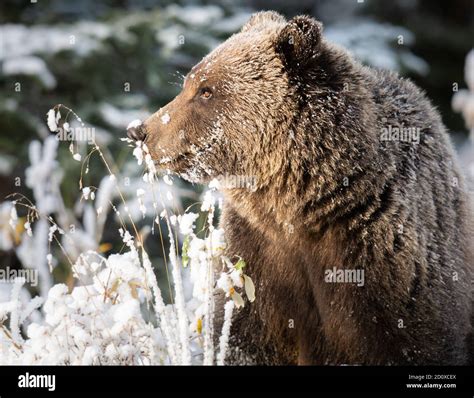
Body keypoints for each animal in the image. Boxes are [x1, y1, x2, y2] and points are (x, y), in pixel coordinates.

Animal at [128, 10, 474, 366]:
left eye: (206, 91)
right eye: (189, 83)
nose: (139, 131)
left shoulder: (387, 264)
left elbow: (414, 341)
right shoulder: (258, 258)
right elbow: (245, 338)